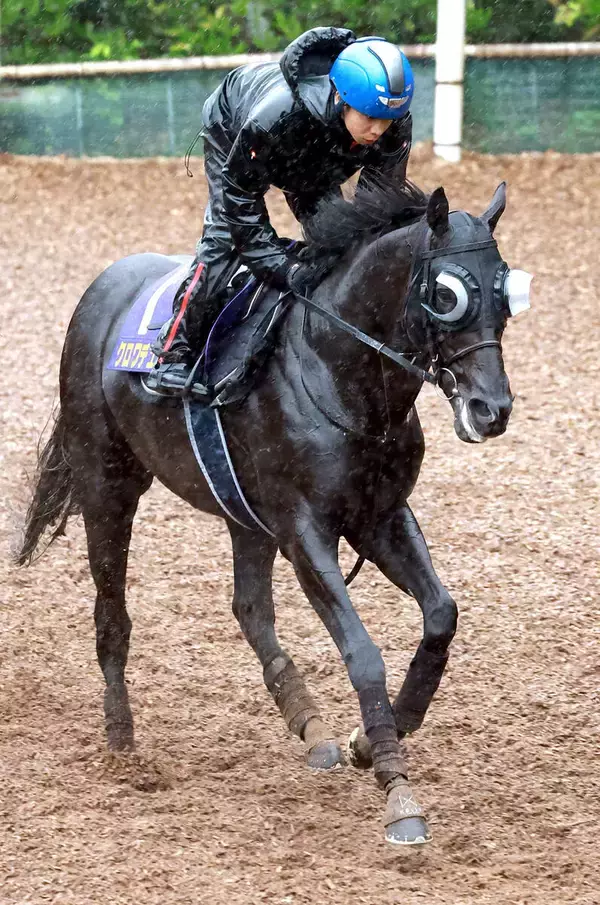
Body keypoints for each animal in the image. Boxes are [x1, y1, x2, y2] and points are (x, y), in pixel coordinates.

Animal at [17, 175, 529, 846]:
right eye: (447, 295)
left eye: (503, 291)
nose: (491, 409)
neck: (338, 371)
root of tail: (100, 289)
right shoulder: (305, 530)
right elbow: (362, 653)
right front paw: (397, 789)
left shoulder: (379, 516)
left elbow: (442, 614)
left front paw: (371, 737)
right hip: (108, 484)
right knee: (112, 615)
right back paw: (122, 745)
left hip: (242, 513)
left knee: (249, 608)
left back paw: (309, 724)